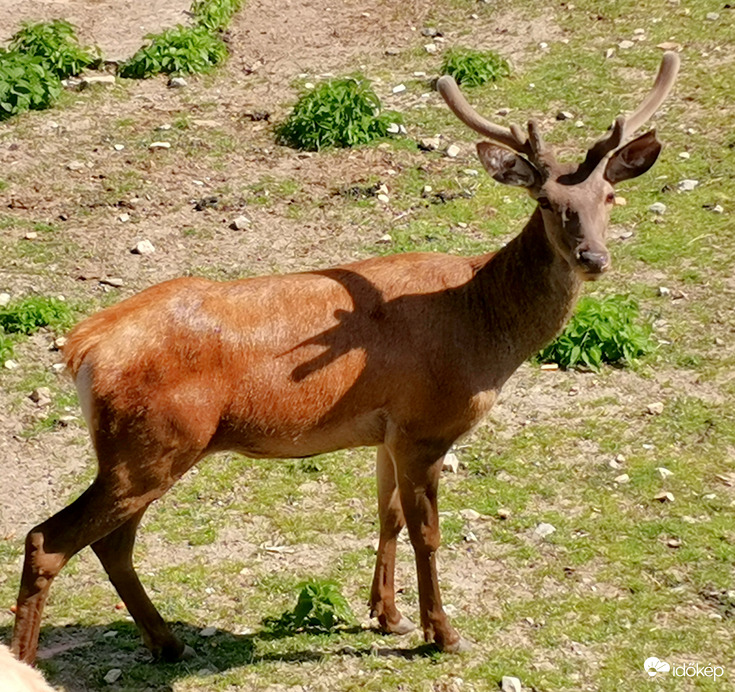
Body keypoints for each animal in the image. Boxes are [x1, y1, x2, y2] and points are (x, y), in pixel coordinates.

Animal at [10, 50, 680, 664]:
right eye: (544, 200)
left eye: (609, 195)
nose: (593, 257)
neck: (482, 329)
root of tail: (82, 347)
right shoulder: (426, 425)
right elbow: (428, 533)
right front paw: (443, 634)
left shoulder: (389, 429)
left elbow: (386, 516)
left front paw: (388, 616)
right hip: (152, 445)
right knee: (49, 538)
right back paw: (31, 656)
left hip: (146, 449)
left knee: (110, 544)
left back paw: (168, 642)